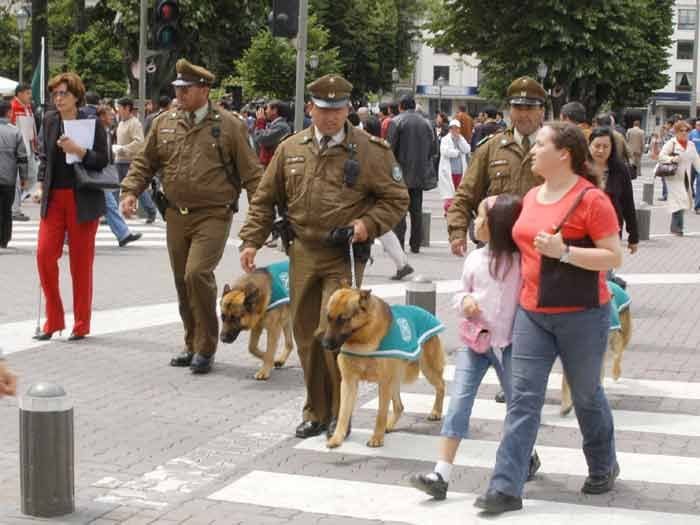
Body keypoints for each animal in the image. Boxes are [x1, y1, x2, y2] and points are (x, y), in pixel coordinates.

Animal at [322, 284, 446, 448]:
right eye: (328, 318)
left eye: (343, 319)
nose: (324, 345)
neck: (363, 339)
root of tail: (423, 310)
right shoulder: (349, 382)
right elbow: (343, 413)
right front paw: (337, 438)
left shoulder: (383, 382)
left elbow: (380, 414)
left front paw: (376, 438)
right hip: (395, 379)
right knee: (399, 406)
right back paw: (390, 425)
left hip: (428, 368)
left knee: (441, 385)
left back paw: (436, 412)